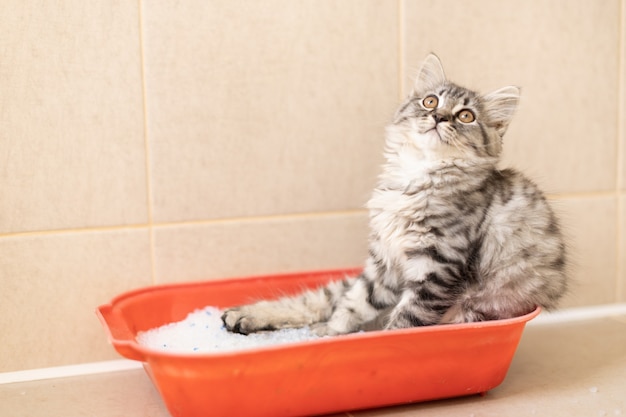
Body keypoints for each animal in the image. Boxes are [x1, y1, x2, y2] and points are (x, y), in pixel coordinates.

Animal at [222, 53, 568, 336]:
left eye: (466, 116)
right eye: (430, 102)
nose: (439, 118)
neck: (417, 176)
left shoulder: (437, 268)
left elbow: (403, 324)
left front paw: (371, 342)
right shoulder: (384, 264)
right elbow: (354, 304)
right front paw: (331, 335)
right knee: (318, 300)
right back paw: (246, 316)